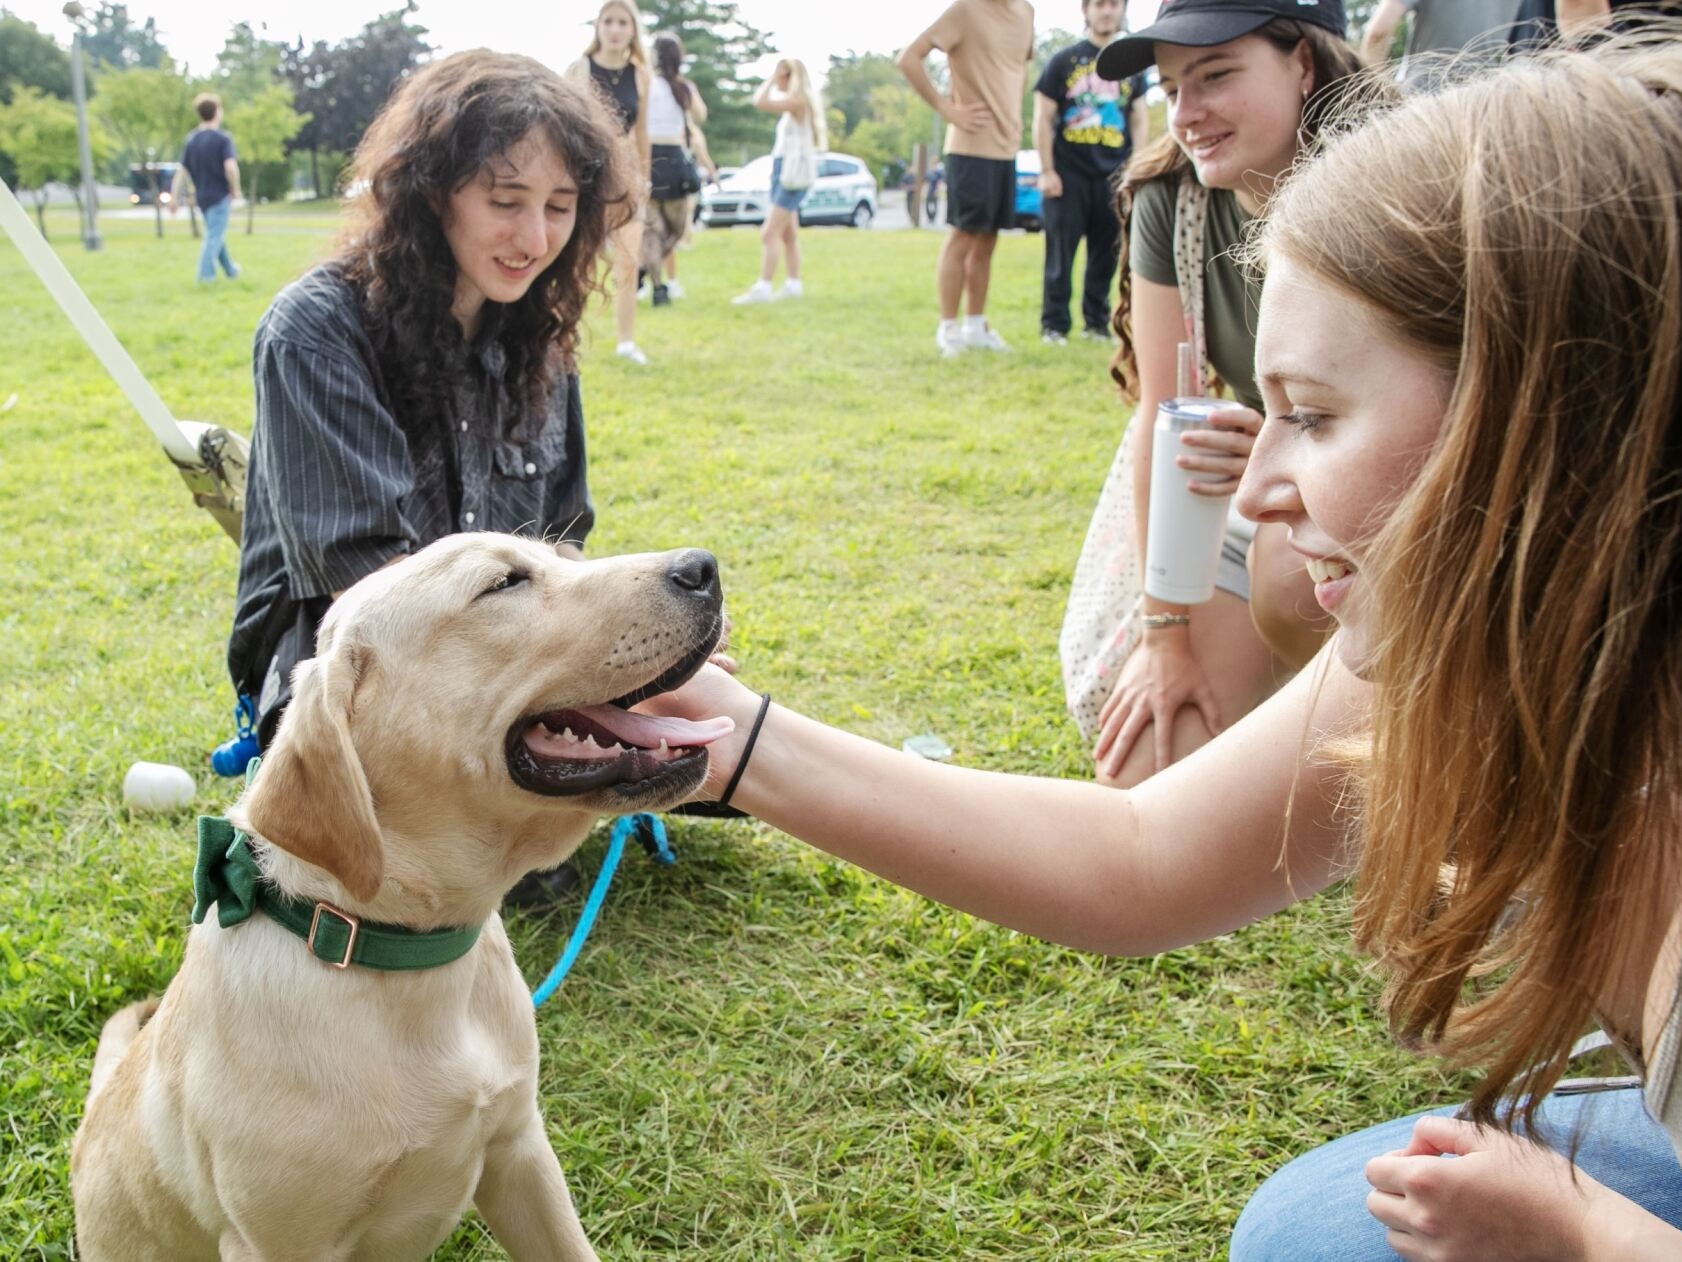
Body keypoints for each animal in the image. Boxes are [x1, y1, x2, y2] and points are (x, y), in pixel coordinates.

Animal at [74, 535, 729, 1262]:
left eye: (565, 555)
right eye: (503, 584)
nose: (704, 566)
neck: (400, 955)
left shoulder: (520, 1151)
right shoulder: (275, 1243)